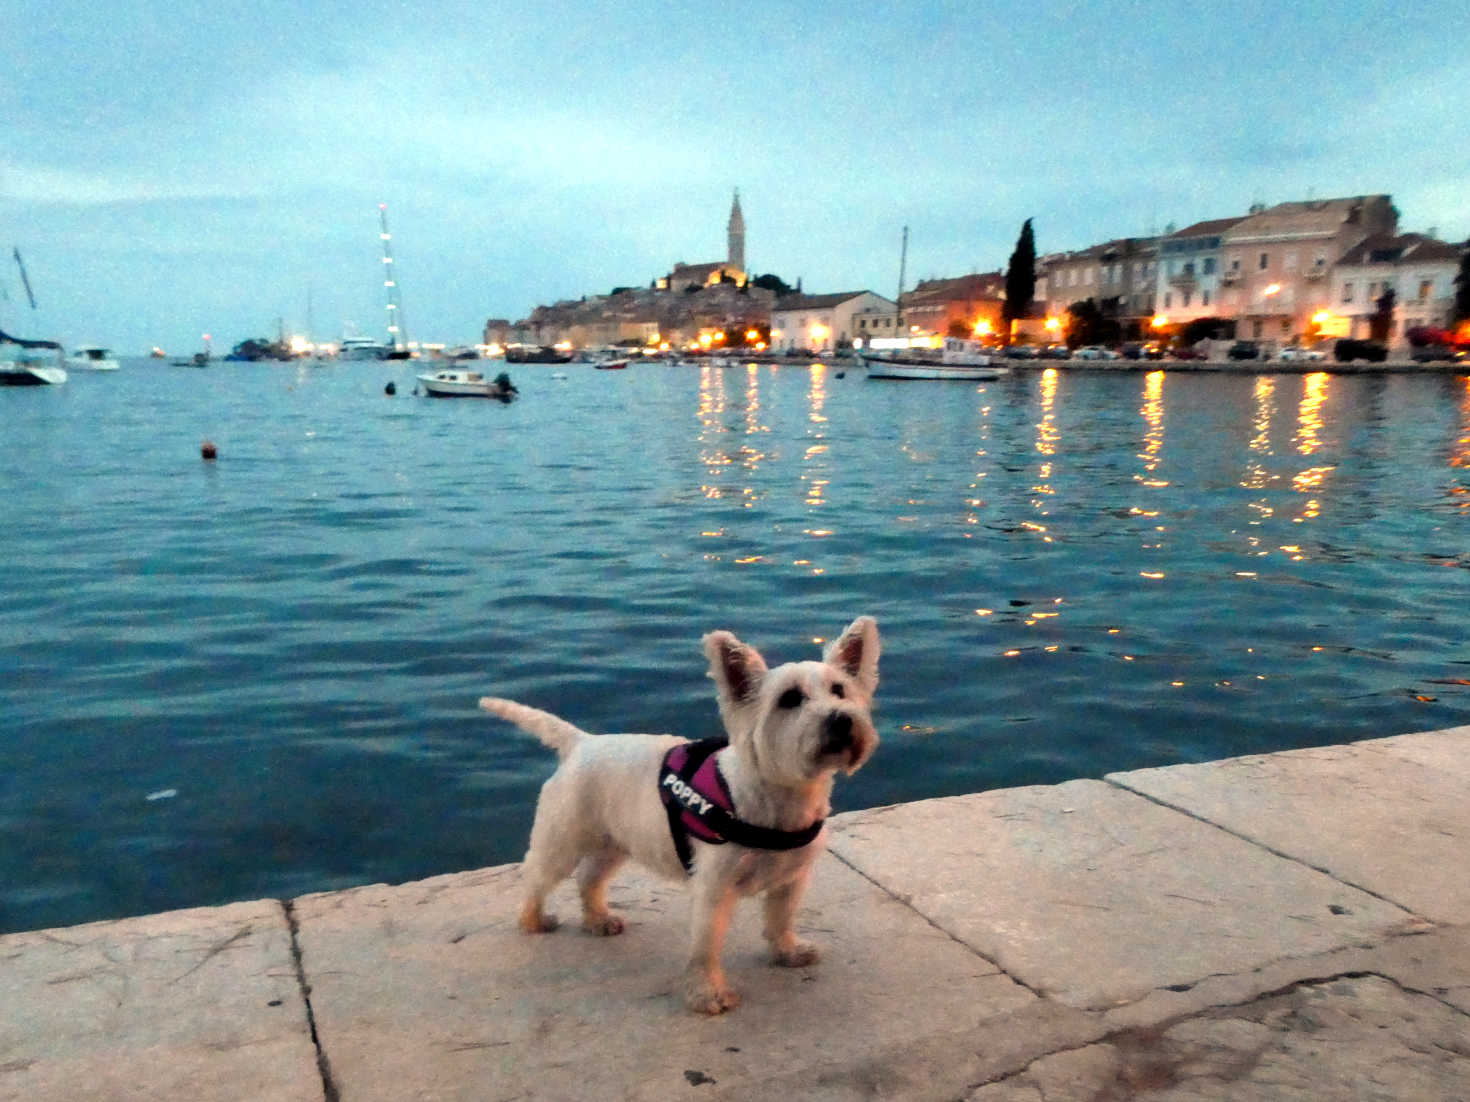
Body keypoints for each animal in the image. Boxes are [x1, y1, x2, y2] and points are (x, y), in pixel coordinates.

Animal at [482, 617, 876, 1016]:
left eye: (839, 690)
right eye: (790, 699)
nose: (842, 720)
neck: (778, 793)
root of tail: (582, 743)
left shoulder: (791, 878)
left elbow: (781, 918)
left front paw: (788, 952)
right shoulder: (714, 887)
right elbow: (706, 945)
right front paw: (707, 993)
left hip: (615, 843)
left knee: (589, 878)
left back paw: (598, 920)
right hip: (564, 839)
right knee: (539, 878)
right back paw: (534, 920)